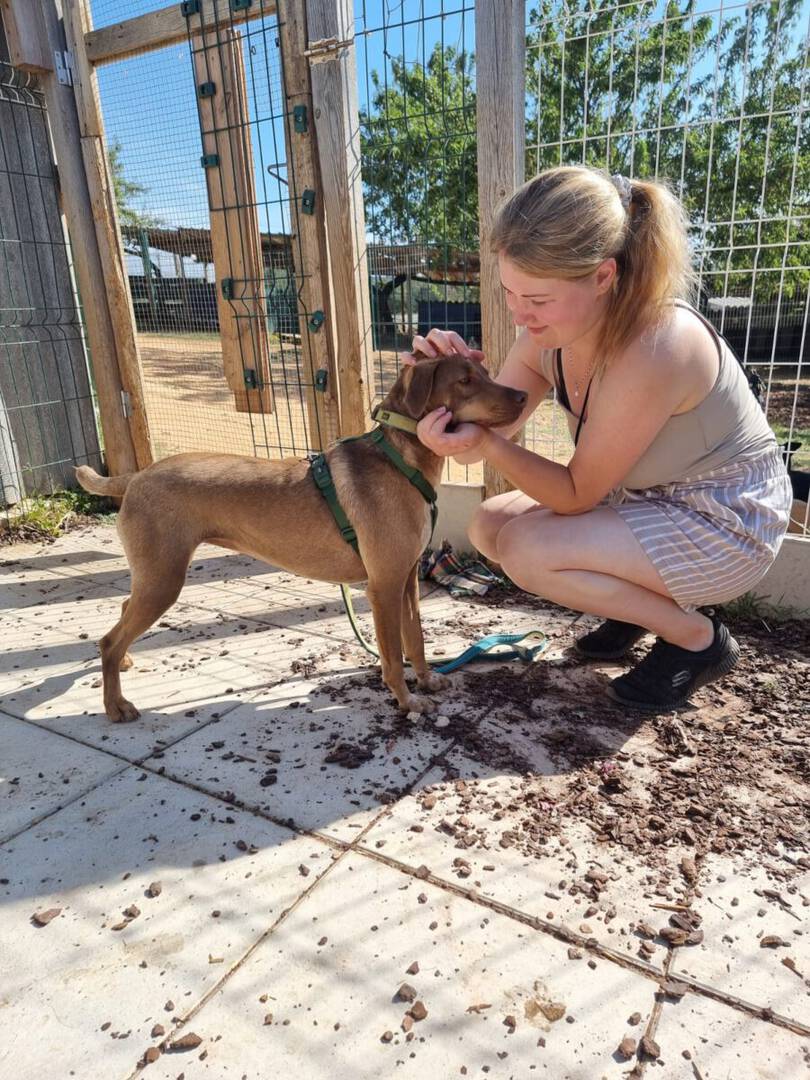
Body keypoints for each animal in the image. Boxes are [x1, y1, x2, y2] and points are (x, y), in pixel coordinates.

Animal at [77, 354, 526, 723]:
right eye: (465, 380)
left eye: (485, 372)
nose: (523, 394)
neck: (400, 459)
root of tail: (137, 476)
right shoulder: (383, 586)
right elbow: (392, 657)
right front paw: (406, 701)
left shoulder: (407, 579)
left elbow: (414, 638)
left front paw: (428, 680)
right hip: (163, 580)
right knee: (107, 640)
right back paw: (115, 704)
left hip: (155, 577)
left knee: (122, 612)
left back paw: (127, 661)